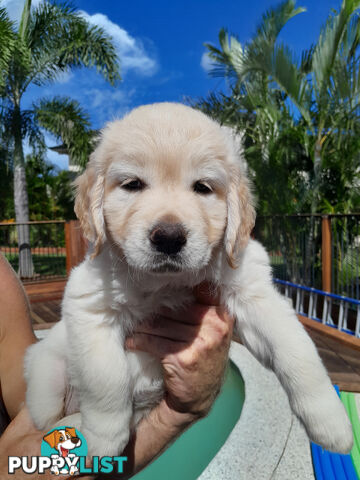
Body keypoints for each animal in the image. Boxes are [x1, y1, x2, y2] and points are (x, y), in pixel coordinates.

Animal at [24, 102, 352, 458]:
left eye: (202, 187)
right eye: (133, 185)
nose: (168, 238)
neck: (167, 283)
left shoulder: (252, 293)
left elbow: (296, 349)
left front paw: (331, 422)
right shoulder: (89, 304)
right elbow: (106, 378)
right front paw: (103, 440)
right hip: (46, 376)